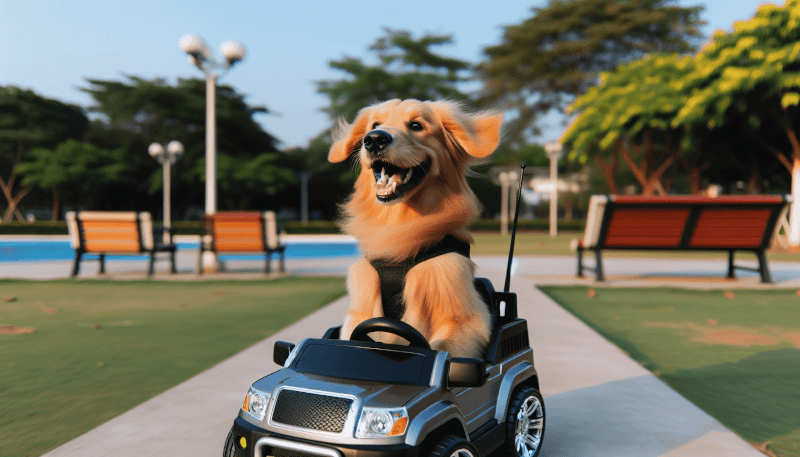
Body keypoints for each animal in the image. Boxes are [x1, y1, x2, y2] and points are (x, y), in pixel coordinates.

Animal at [324, 98, 500, 358]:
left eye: (416, 125)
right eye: (375, 125)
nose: (374, 139)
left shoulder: (465, 319)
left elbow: (445, 348)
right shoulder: (360, 314)